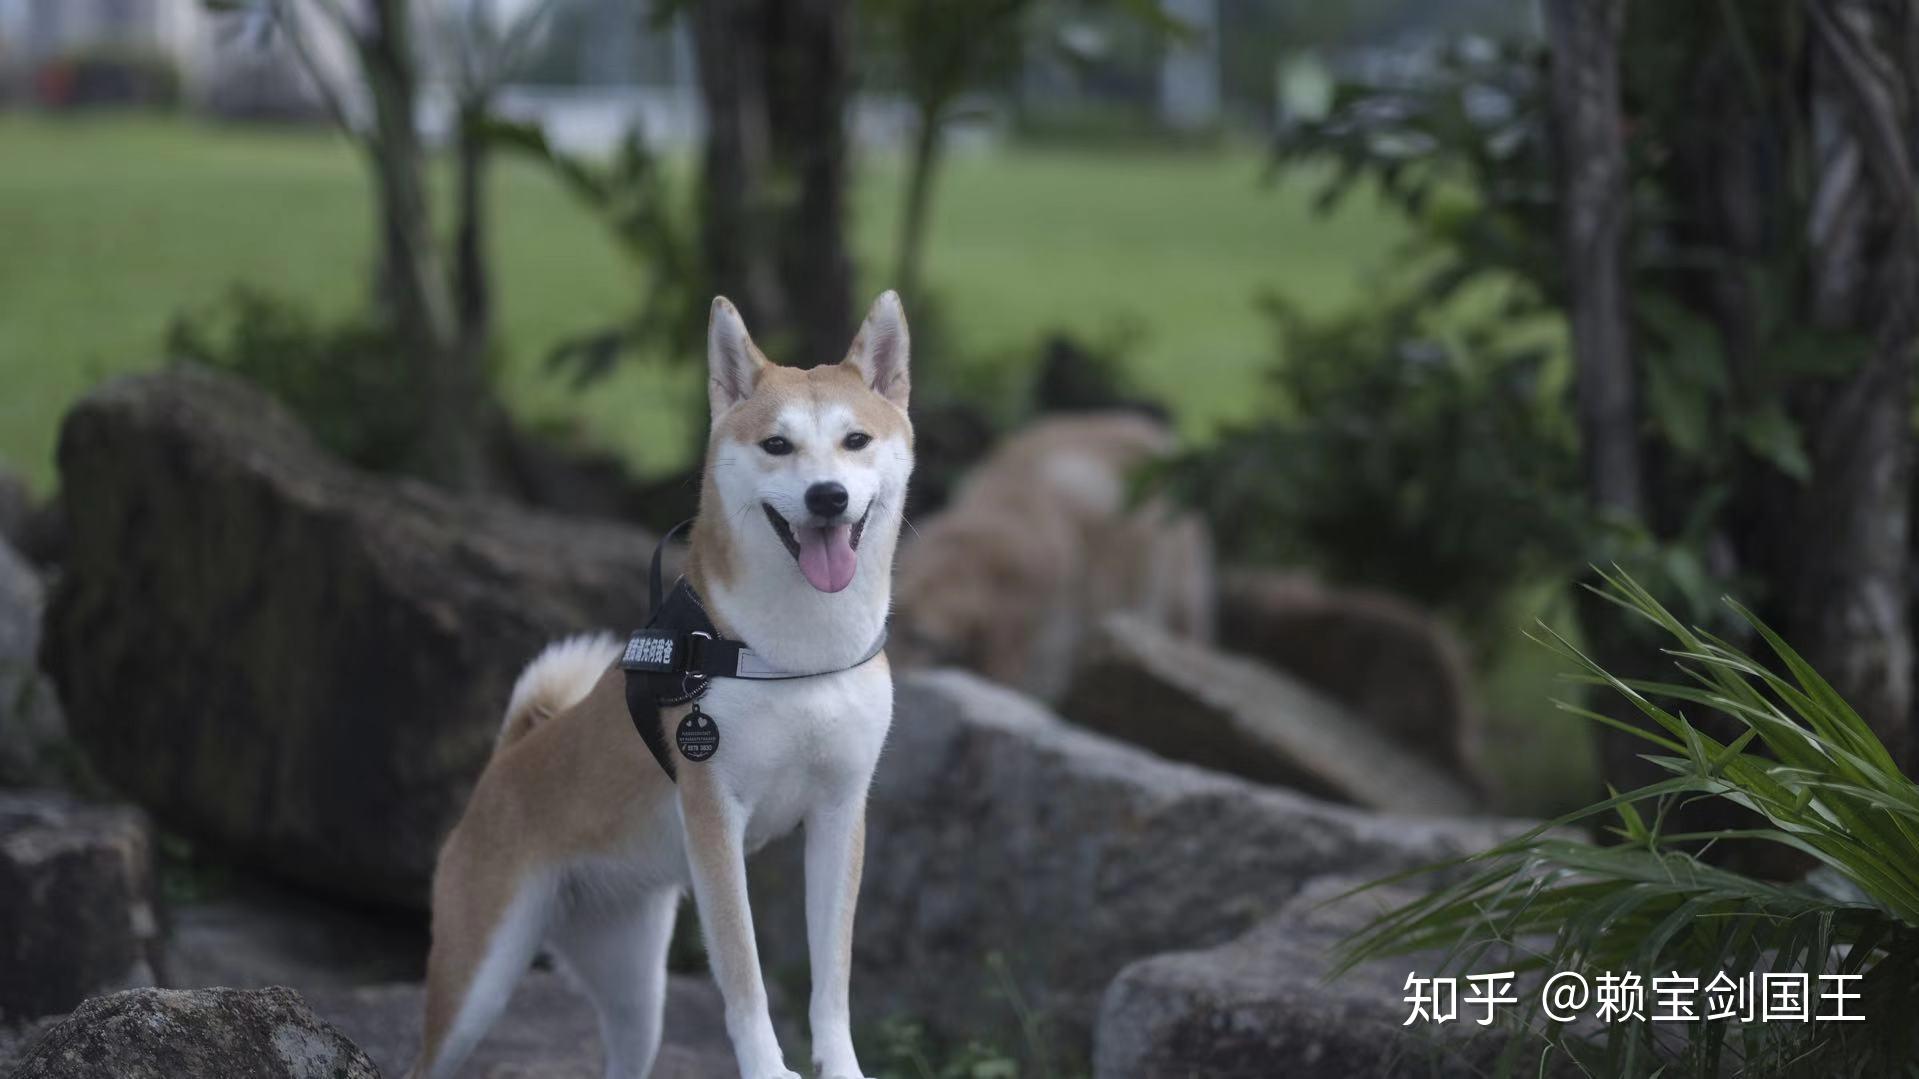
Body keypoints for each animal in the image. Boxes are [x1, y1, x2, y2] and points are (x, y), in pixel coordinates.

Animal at [408, 289, 917, 1075]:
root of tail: (506, 760)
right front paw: (768, 1069)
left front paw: (842, 1068)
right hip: (476, 982)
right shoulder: (714, 814)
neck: (796, 652)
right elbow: (743, 973)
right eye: (778, 446)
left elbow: (831, 981)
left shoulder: (840, 812)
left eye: (855, 440)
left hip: (633, 987)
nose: (828, 496)